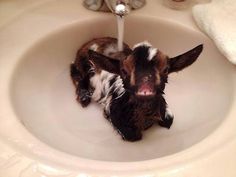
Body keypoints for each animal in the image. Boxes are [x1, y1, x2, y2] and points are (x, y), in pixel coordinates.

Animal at [70, 37, 203, 141]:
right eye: (124, 71)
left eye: (165, 70)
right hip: (83, 64)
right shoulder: (112, 112)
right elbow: (132, 135)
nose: (145, 88)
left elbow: (168, 120)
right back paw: (84, 97)